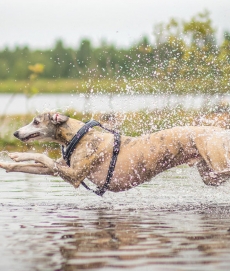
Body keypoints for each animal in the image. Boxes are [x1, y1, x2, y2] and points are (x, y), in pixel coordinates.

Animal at [0, 112, 230, 193]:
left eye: (36, 121)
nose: (15, 133)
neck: (80, 136)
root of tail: (222, 131)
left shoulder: (74, 175)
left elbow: (41, 156)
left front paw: (15, 155)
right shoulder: (61, 169)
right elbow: (35, 166)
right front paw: (8, 162)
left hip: (217, 162)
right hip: (209, 174)